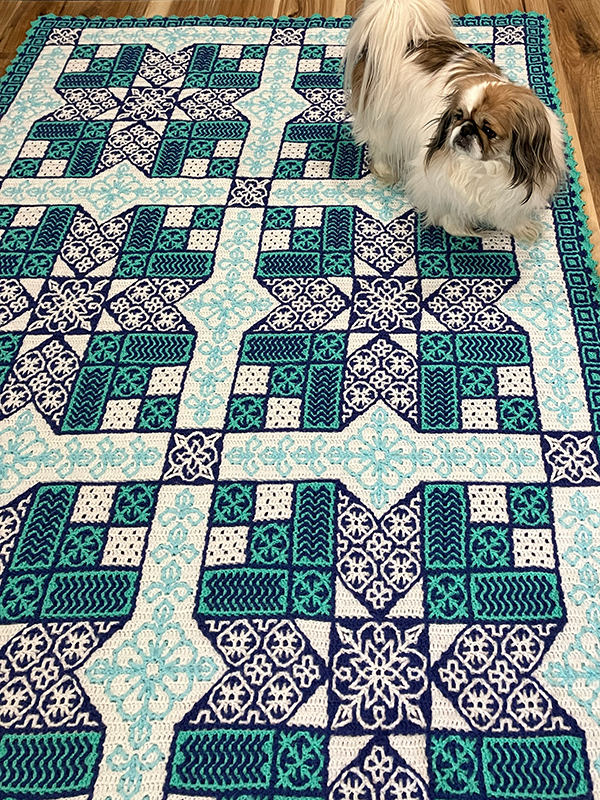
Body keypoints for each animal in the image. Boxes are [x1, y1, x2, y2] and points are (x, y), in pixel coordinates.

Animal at [343, 0, 565, 242]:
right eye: (458, 116)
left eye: (489, 131)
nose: (466, 129)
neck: (485, 167)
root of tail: (410, 41)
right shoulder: (440, 183)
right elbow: (450, 213)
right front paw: (465, 229)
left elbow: (509, 214)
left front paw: (521, 228)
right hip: (383, 122)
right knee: (380, 146)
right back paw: (386, 170)